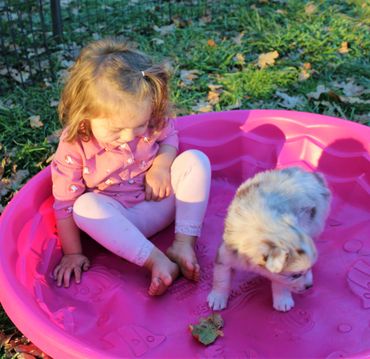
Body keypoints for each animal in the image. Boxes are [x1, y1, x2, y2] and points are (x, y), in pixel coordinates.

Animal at [207, 167, 330, 310]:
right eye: (295, 275)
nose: (310, 286)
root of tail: (312, 175)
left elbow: (280, 282)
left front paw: (283, 301)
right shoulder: (226, 254)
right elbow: (222, 279)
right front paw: (217, 298)